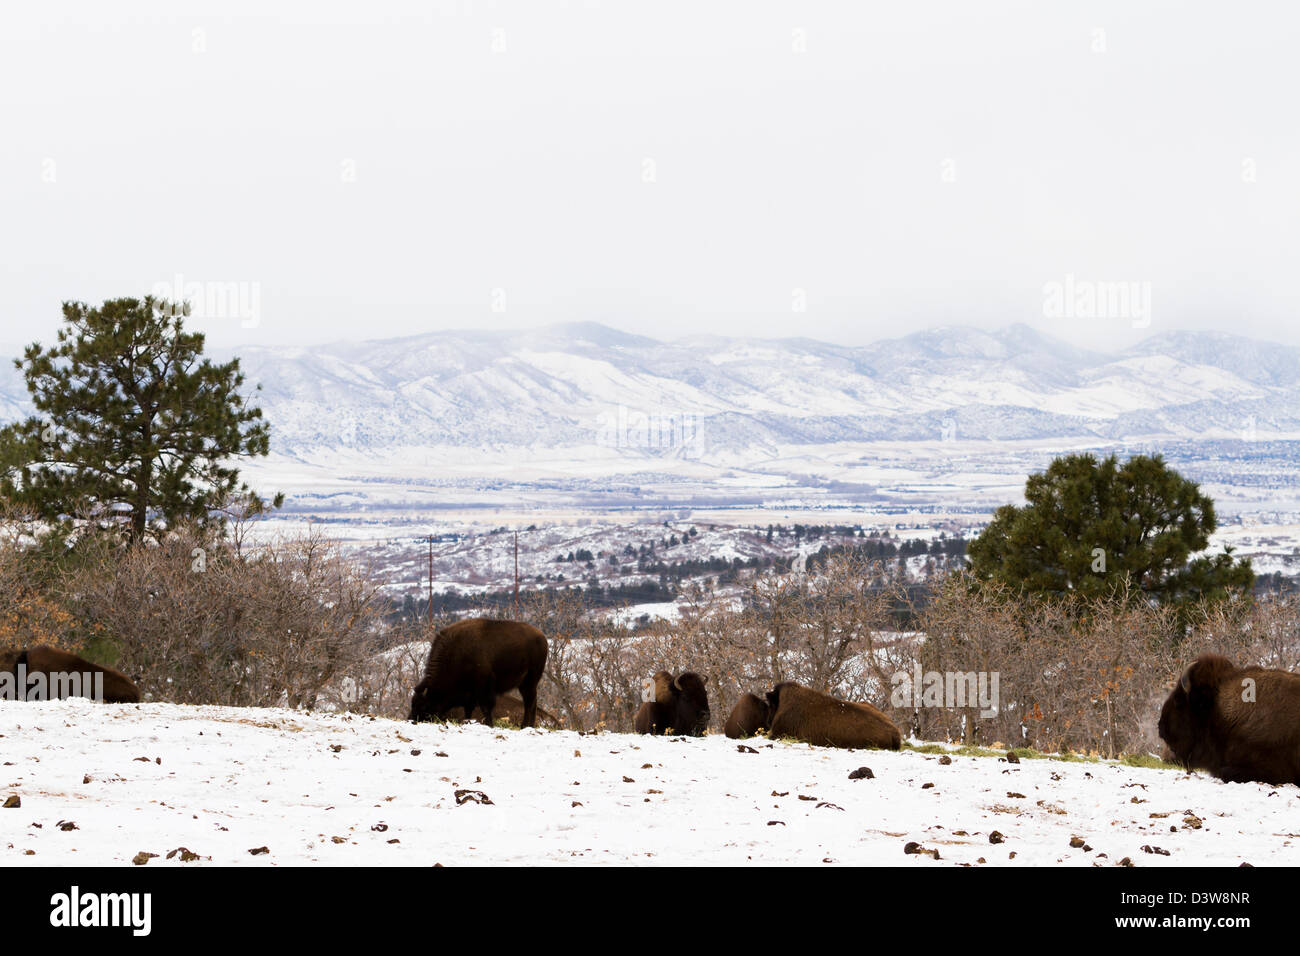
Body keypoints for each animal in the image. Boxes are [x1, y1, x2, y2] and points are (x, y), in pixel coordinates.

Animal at [409, 618, 549, 728]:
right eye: (412, 703)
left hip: (530, 681)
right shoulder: (469, 695)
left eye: (424, 706)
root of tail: (542, 637)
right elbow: (469, 710)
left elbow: (486, 708)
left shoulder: (485, 689)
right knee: (531, 702)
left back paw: (525, 726)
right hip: (525, 684)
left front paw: (489, 725)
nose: (411, 720)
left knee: (530, 702)